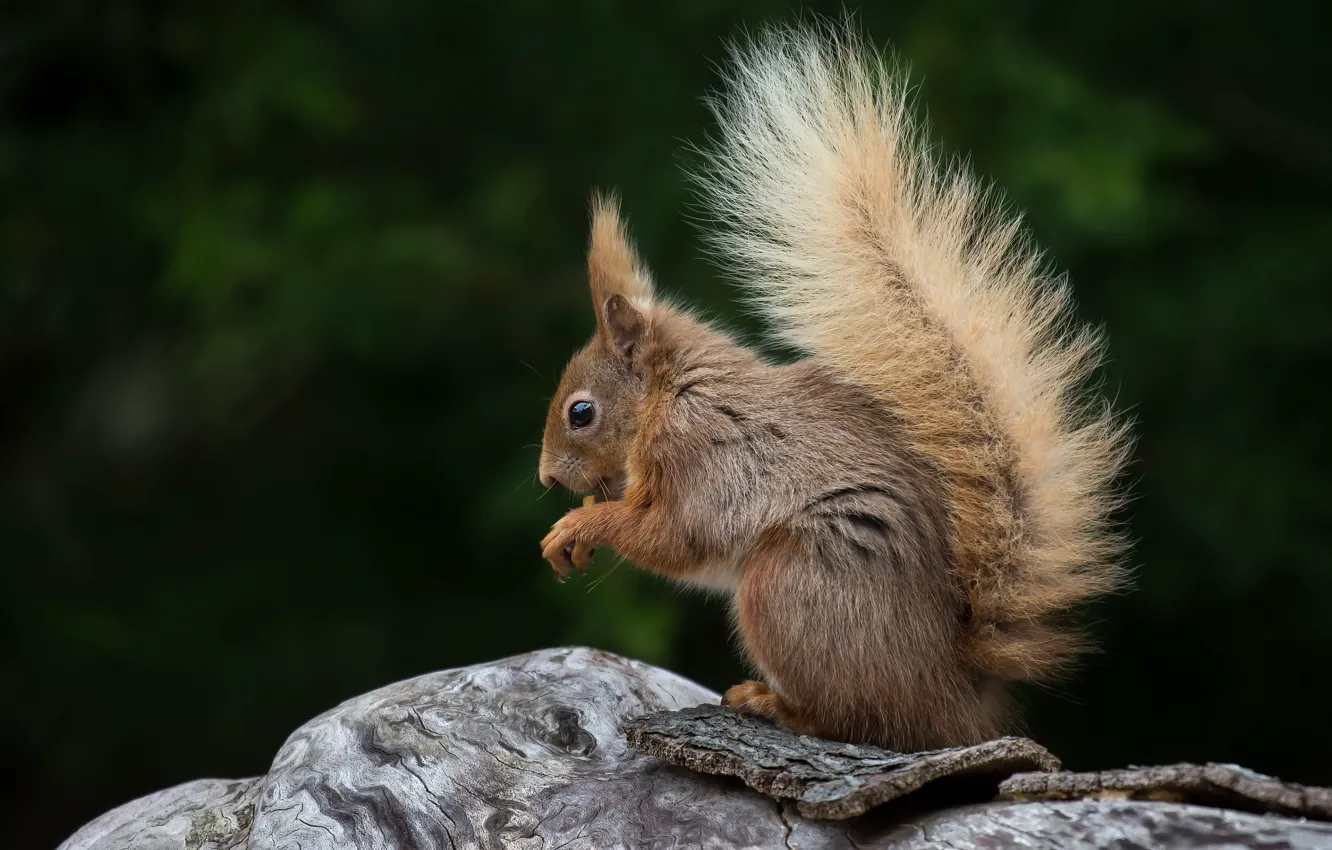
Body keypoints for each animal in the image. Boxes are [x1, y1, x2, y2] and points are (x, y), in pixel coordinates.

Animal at [537, 22, 1132, 751]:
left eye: (581, 412)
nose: (547, 478)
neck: (671, 392)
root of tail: (955, 691)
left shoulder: (703, 452)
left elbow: (678, 537)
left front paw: (578, 524)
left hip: (793, 585)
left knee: (856, 718)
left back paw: (775, 704)